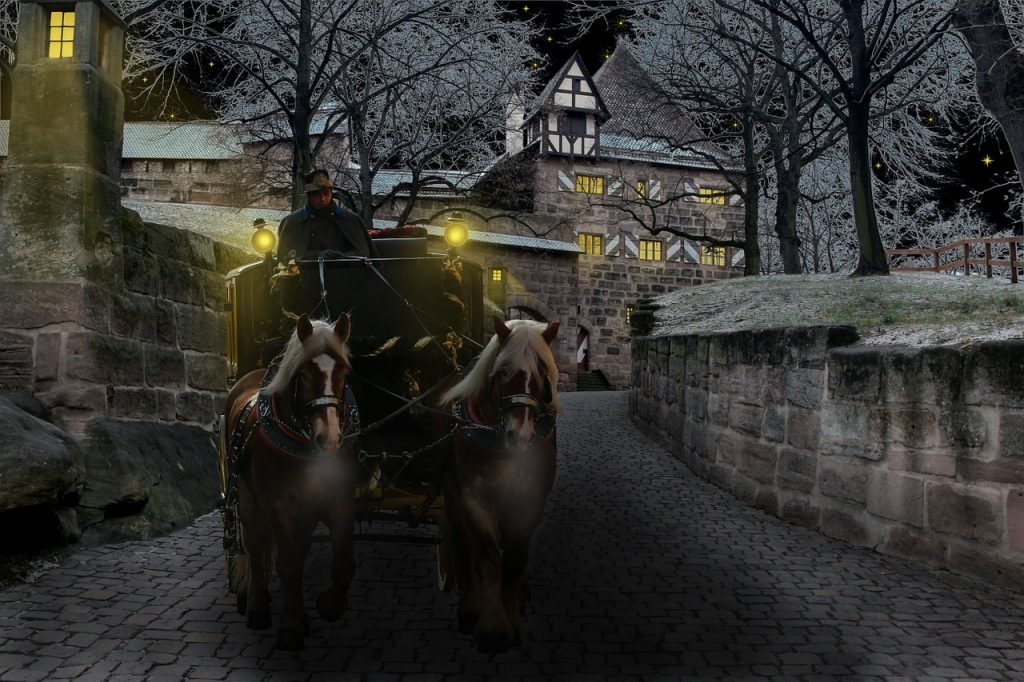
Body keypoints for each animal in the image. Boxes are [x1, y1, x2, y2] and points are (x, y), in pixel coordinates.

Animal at [222, 313, 358, 647]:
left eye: (343, 371)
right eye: (304, 373)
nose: (330, 439)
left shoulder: (338, 502)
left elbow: (343, 561)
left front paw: (330, 605)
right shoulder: (278, 506)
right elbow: (287, 562)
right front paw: (292, 626)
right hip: (247, 501)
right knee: (256, 548)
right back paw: (258, 607)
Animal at [438, 315, 561, 651]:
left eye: (543, 373)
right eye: (503, 371)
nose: (520, 436)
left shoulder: (530, 497)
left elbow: (516, 555)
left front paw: (512, 612)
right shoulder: (474, 498)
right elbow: (487, 554)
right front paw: (493, 625)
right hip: (452, 491)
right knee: (463, 541)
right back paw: (470, 607)